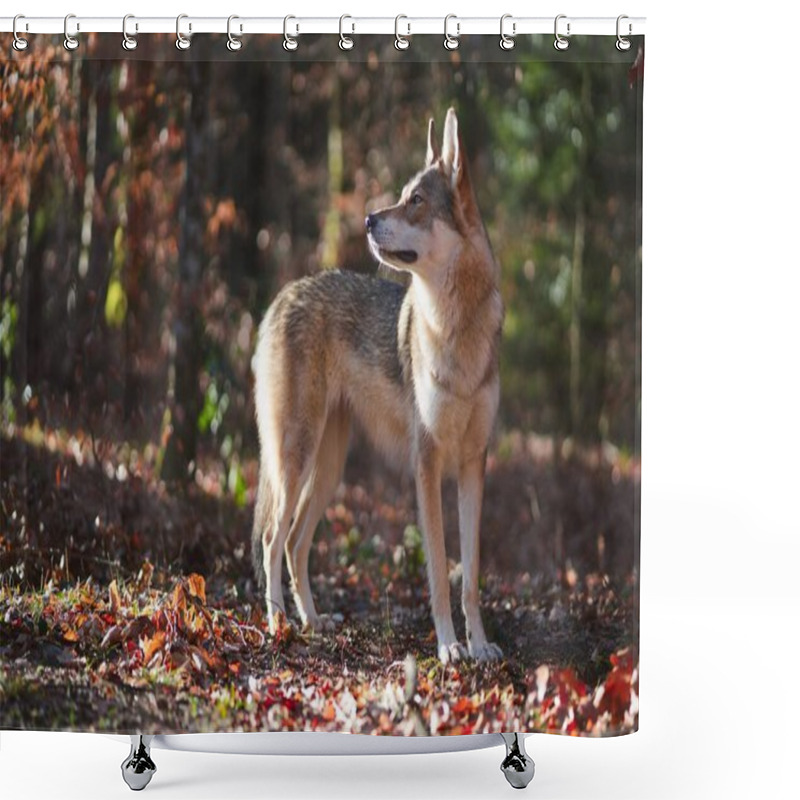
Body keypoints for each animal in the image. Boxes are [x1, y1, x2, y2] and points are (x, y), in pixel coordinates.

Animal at [253, 109, 504, 664]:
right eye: (402, 194)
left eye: (416, 200)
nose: (368, 219)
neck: (455, 328)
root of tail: (283, 295)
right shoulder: (426, 463)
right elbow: (439, 572)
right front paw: (449, 646)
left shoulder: (474, 465)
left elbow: (472, 576)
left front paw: (479, 645)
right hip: (296, 458)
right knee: (272, 537)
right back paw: (278, 622)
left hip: (329, 468)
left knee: (295, 542)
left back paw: (313, 621)